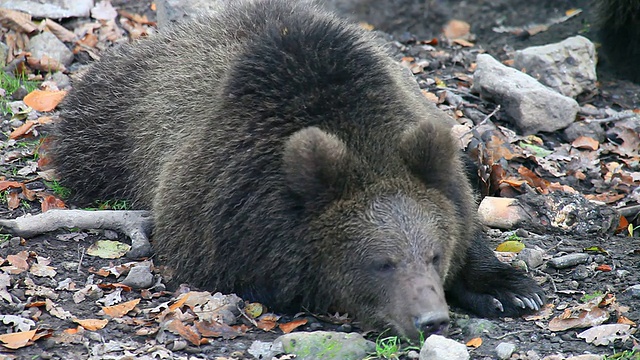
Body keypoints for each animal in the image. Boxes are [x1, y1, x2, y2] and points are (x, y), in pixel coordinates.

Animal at [48, 0, 544, 338]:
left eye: (434, 254)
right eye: (381, 263)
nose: (431, 319)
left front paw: (510, 289)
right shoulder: (222, 208)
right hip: (110, 117)